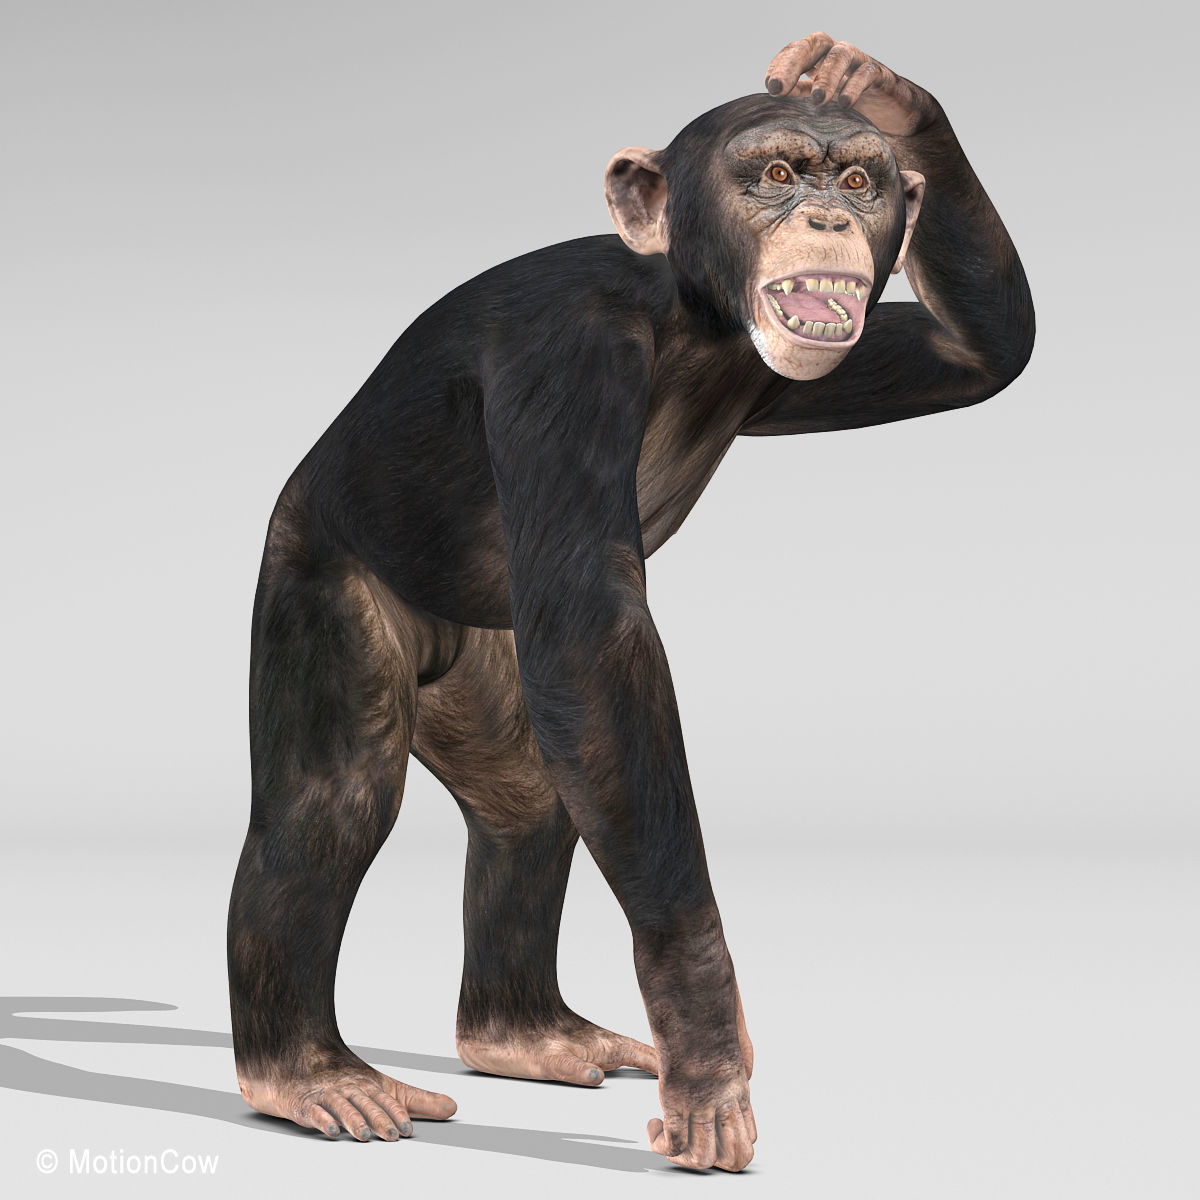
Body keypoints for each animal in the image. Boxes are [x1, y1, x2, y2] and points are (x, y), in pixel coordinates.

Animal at [227, 34, 1034, 1173]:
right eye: (776, 173)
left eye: (860, 180)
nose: (831, 217)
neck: (682, 315)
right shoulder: (563, 357)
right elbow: (592, 639)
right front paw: (706, 1035)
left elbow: (978, 353)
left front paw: (871, 80)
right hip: (320, 567)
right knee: (329, 806)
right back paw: (304, 1075)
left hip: (485, 661)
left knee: (528, 801)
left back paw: (523, 1034)